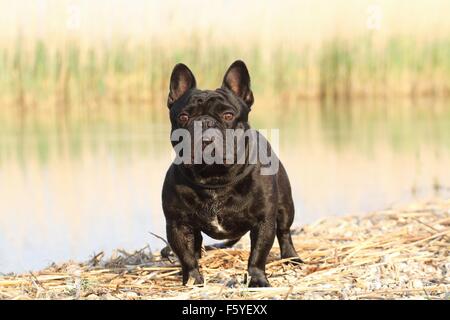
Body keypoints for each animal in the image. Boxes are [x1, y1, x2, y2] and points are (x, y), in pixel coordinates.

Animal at [160, 60, 300, 288]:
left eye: (228, 116)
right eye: (183, 117)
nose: (205, 122)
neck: (215, 177)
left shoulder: (263, 221)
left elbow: (258, 254)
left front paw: (257, 279)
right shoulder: (177, 224)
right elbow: (185, 255)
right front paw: (192, 279)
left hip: (286, 206)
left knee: (285, 231)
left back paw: (292, 258)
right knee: (196, 243)